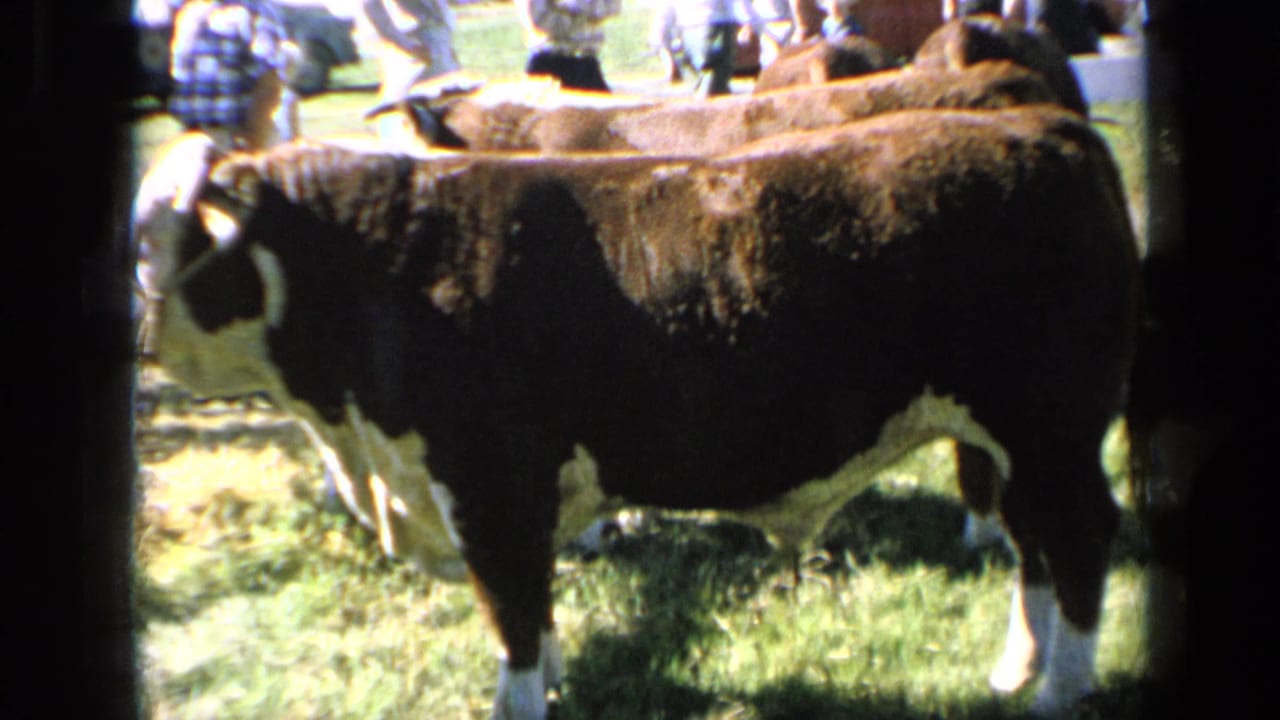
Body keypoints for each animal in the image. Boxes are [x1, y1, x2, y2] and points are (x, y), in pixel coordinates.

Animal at [135, 103, 1139, 719]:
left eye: (157, 236)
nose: (138, 339)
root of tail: (1039, 125)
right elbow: (536, 618)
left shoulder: (491, 488)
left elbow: (514, 618)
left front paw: (521, 702)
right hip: (1012, 441)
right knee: (1033, 545)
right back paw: (1016, 671)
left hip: (1051, 428)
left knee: (1080, 539)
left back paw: (1060, 691)